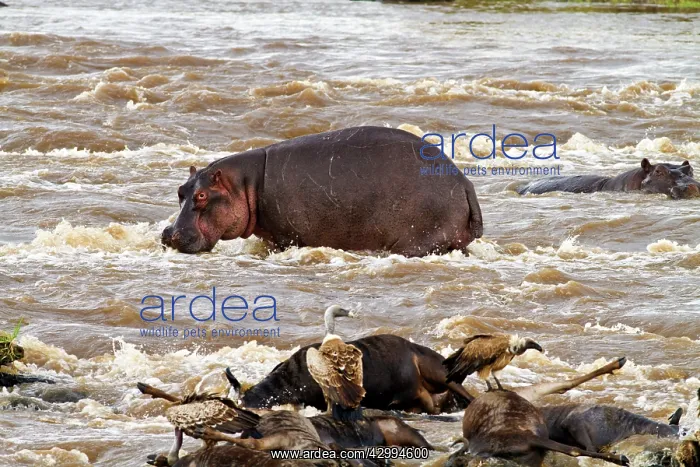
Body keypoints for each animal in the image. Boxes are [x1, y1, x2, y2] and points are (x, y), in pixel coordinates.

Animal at [161, 126, 483, 256]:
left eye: (202, 195)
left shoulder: (285, 238)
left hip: (418, 241)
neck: (244, 184)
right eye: (180, 191)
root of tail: (464, 183)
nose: (170, 234)